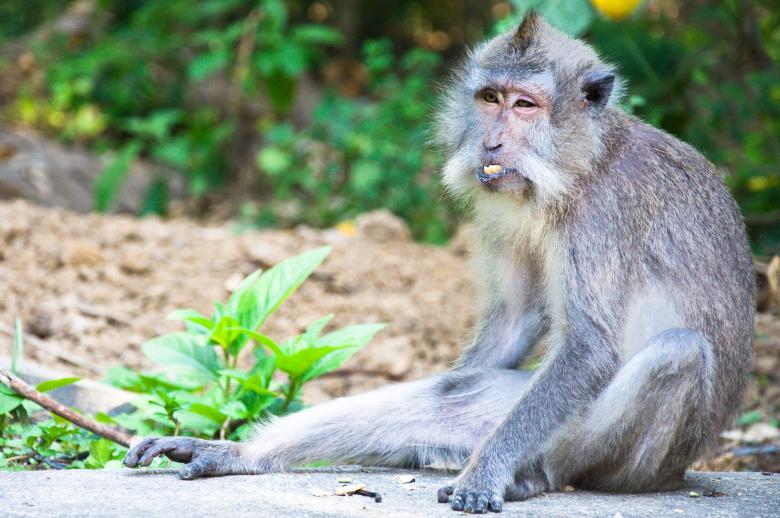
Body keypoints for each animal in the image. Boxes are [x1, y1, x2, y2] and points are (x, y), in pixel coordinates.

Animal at [124, 13, 755, 514]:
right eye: (490, 99)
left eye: (526, 105)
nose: (492, 144)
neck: (582, 167)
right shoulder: (510, 207)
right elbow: (514, 323)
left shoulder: (602, 215)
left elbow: (589, 347)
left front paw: (486, 474)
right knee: (453, 394)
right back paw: (239, 454)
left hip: (624, 459)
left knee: (676, 353)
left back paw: (532, 475)